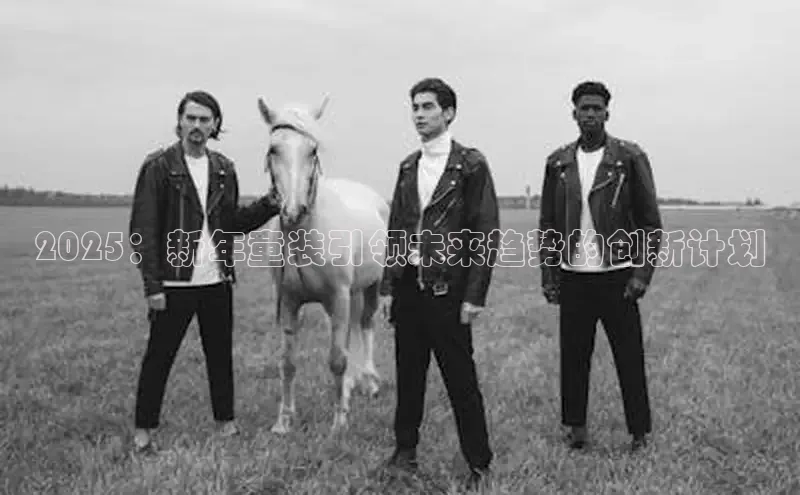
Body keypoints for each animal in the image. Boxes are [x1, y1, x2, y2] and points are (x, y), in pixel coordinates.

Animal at [256, 95, 388, 434]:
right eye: (273, 149)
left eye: (313, 150)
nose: (293, 211)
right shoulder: (289, 302)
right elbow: (288, 362)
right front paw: (283, 421)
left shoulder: (338, 297)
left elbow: (337, 359)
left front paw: (339, 422)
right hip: (353, 292)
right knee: (353, 328)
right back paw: (352, 386)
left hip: (371, 286)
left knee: (365, 325)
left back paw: (369, 382)